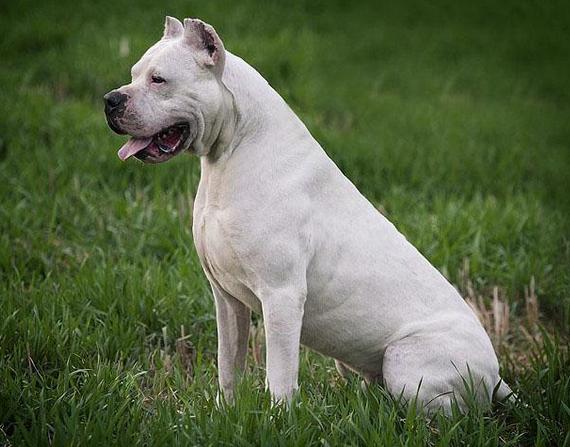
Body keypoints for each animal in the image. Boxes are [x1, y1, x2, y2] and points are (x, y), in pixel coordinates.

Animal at [103, 16, 510, 416]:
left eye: (159, 79)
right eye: (134, 73)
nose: (110, 100)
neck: (232, 151)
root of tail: (496, 375)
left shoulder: (282, 296)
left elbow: (280, 375)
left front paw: (277, 420)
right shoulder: (227, 299)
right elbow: (228, 365)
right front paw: (225, 412)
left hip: (406, 363)